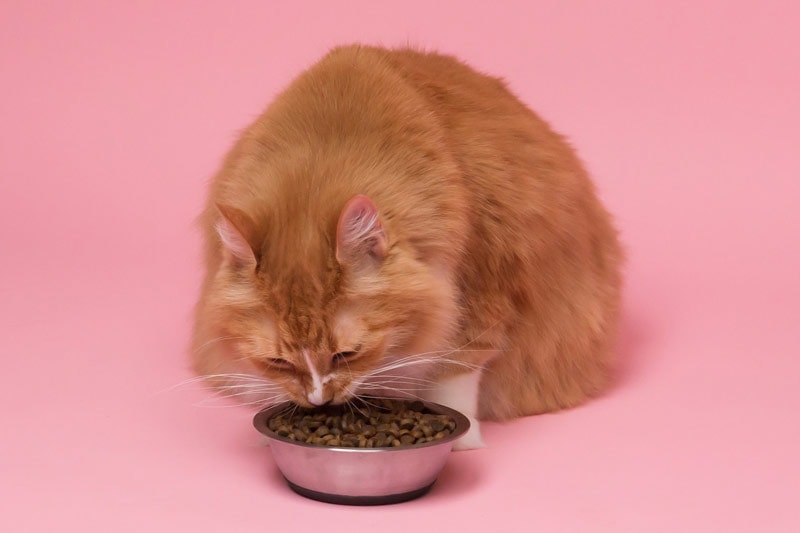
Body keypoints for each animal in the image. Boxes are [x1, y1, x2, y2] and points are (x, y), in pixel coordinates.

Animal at [192, 44, 624, 448]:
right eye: (278, 361)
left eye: (347, 354)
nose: (319, 399)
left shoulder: (478, 294)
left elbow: (456, 375)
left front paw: (463, 443)